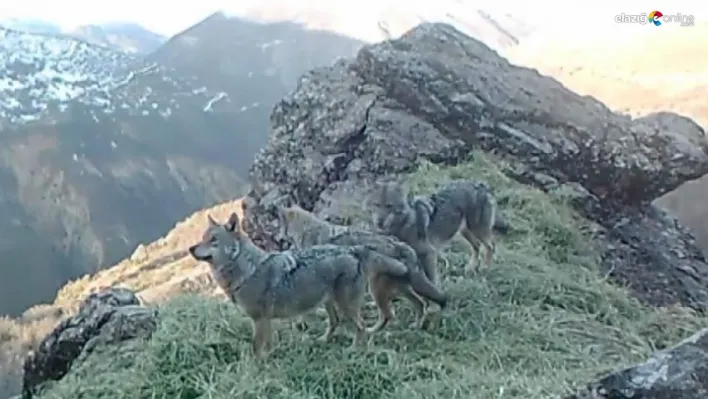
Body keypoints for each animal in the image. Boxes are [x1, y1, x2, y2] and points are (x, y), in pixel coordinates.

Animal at [189, 214, 398, 358]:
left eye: (213, 240)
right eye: (202, 238)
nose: (190, 248)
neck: (247, 271)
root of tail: (353, 250)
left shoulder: (260, 320)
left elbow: (256, 348)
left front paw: (255, 368)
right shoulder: (265, 321)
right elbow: (266, 346)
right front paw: (268, 361)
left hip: (346, 306)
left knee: (361, 327)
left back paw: (353, 349)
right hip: (329, 303)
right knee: (335, 322)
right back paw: (322, 340)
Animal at [278, 205, 448, 332]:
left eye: (280, 227)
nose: (279, 239)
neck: (308, 230)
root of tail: (401, 245)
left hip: (376, 289)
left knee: (388, 314)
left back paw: (372, 331)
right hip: (400, 288)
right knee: (420, 304)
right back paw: (415, 326)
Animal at [368, 178, 500, 284]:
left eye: (389, 206)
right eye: (376, 205)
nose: (379, 222)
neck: (406, 222)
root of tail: (482, 185)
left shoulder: (430, 253)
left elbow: (432, 280)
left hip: (477, 231)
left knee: (491, 246)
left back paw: (484, 270)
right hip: (464, 231)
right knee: (477, 246)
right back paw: (470, 269)